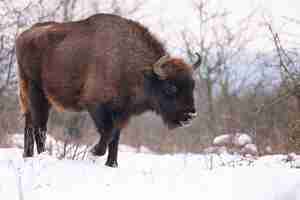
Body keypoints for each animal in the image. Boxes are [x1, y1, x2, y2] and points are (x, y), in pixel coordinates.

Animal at [15, 13, 200, 167]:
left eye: (192, 85)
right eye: (171, 87)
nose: (191, 115)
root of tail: (23, 36)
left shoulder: (121, 112)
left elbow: (115, 137)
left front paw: (112, 164)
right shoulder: (96, 105)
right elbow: (108, 131)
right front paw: (95, 151)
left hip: (30, 96)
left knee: (29, 122)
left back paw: (27, 155)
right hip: (37, 92)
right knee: (39, 126)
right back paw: (42, 155)